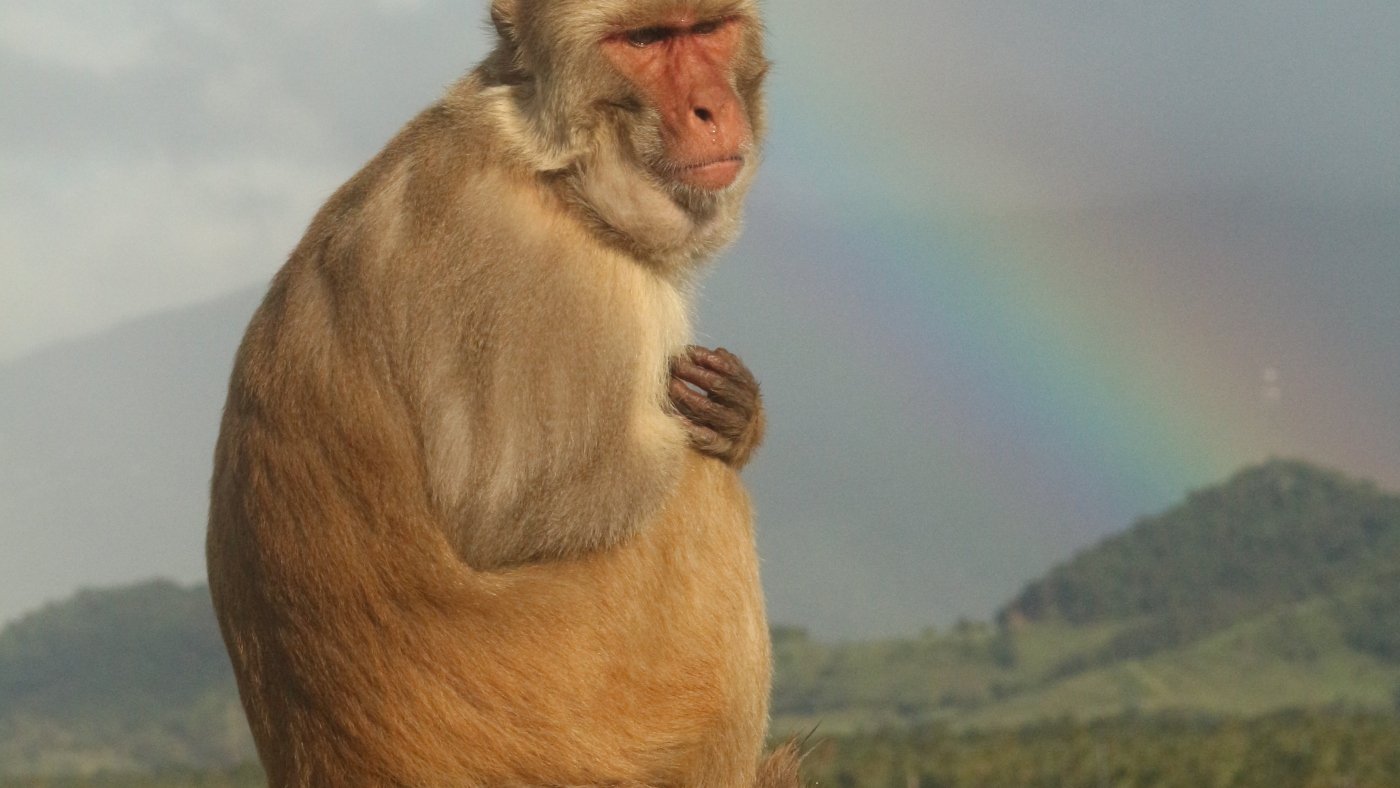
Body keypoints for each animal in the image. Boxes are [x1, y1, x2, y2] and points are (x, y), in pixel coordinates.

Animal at [204, 0, 800, 783]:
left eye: (705, 30)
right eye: (643, 41)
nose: (710, 107)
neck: (550, 168)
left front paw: (739, 415)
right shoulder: (556, 279)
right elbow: (515, 513)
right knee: (699, 488)